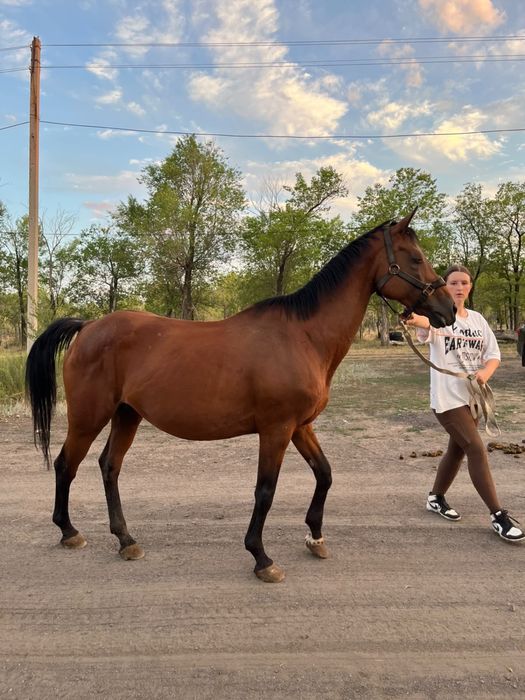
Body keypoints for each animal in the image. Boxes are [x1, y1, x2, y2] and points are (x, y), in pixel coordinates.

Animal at [26, 211, 455, 583]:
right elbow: (265, 491)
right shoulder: (276, 429)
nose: (448, 309)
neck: (303, 336)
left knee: (109, 467)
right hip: (89, 416)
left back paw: (126, 540)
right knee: (66, 464)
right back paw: (69, 532)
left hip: (126, 414)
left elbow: (325, 474)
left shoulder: (301, 426)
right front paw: (261, 557)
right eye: (415, 258)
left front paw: (315, 537)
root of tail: (88, 326)